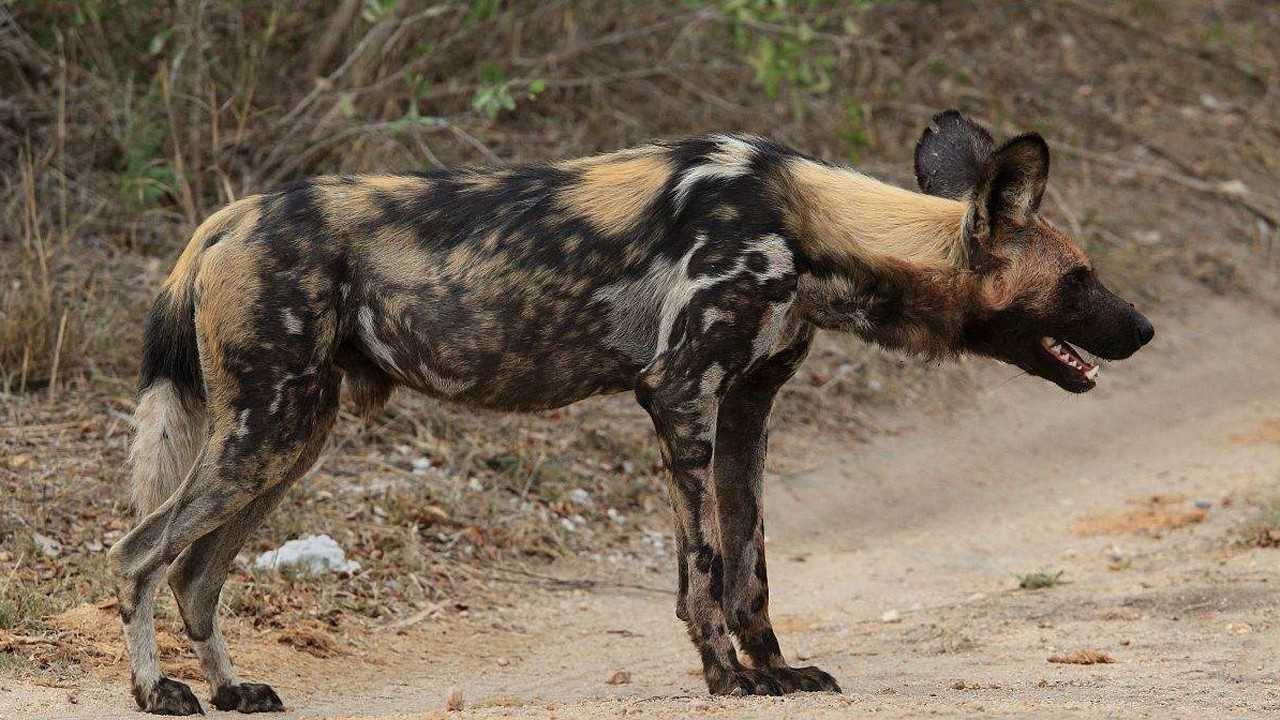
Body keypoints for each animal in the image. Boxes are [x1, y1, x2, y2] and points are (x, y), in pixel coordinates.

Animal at [110, 109, 1152, 707]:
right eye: (1078, 279)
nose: (1144, 328)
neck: (811, 229)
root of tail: (228, 217)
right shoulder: (681, 397)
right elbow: (704, 570)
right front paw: (726, 679)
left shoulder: (747, 414)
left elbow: (752, 569)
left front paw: (774, 671)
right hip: (264, 433)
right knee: (137, 551)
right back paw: (157, 693)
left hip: (291, 439)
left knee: (196, 573)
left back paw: (233, 691)